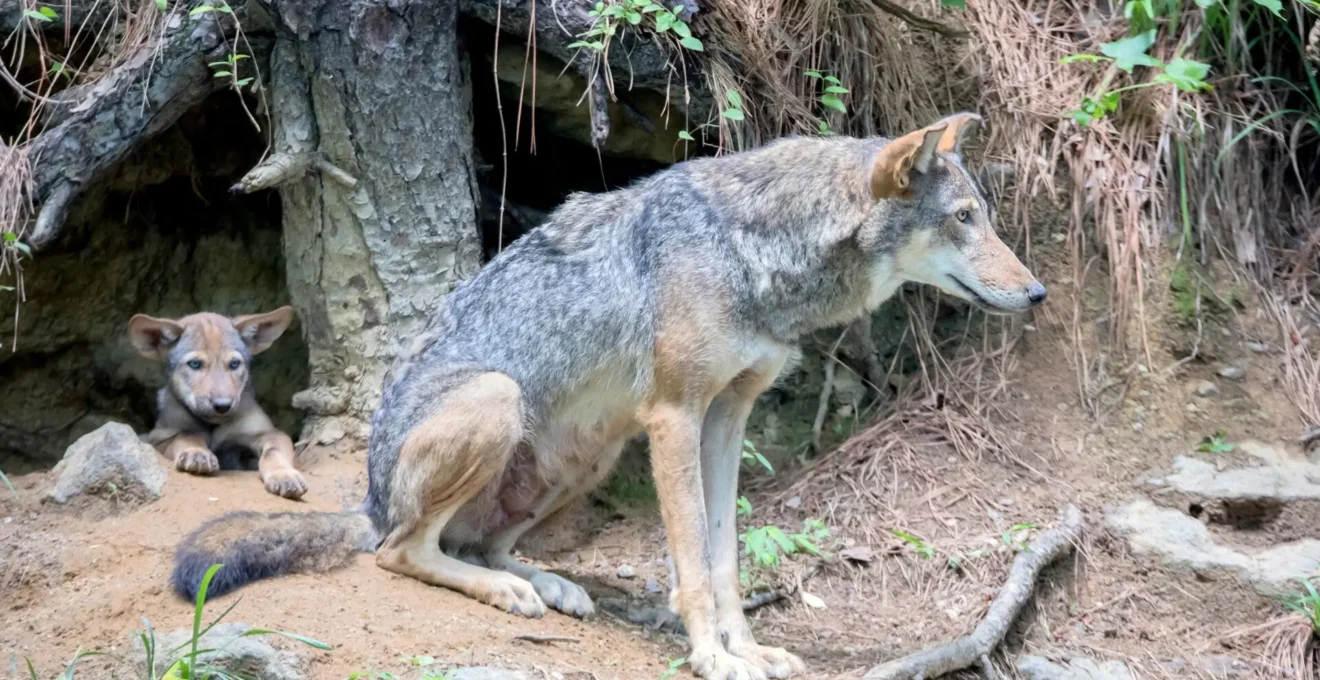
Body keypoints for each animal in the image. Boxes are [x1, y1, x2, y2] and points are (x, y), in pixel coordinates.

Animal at [129, 306, 307, 500]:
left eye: (235, 363)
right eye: (195, 364)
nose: (223, 406)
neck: (213, 426)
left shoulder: (271, 434)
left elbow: (272, 452)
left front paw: (284, 475)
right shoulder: (158, 439)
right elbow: (185, 435)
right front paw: (196, 453)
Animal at [171, 112, 1043, 680]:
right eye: (964, 218)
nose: (1037, 292)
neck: (753, 251)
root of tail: (370, 498)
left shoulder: (728, 419)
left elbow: (725, 557)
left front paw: (748, 649)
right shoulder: (675, 417)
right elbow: (692, 561)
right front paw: (712, 659)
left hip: (585, 454)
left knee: (473, 544)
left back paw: (547, 584)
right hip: (502, 401)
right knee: (405, 552)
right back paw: (507, 591)